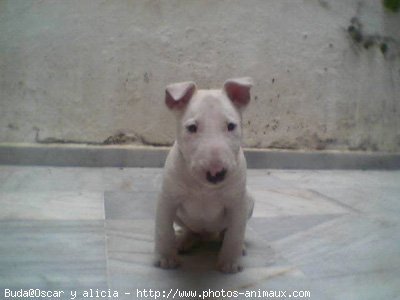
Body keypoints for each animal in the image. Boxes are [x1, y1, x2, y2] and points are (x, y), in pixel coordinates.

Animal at [155, 78, 255, 274]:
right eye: (192, 128)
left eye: (231, 126)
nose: (216, 173)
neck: (204, 188)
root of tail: (208, 234)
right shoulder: (166, 200)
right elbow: (163, 230)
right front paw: (167, 258)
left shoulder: (238, 204)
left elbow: (235, 233)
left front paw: (229, 262)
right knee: (193, 232)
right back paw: (184, 241)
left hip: (250, 201)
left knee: (226, 232)